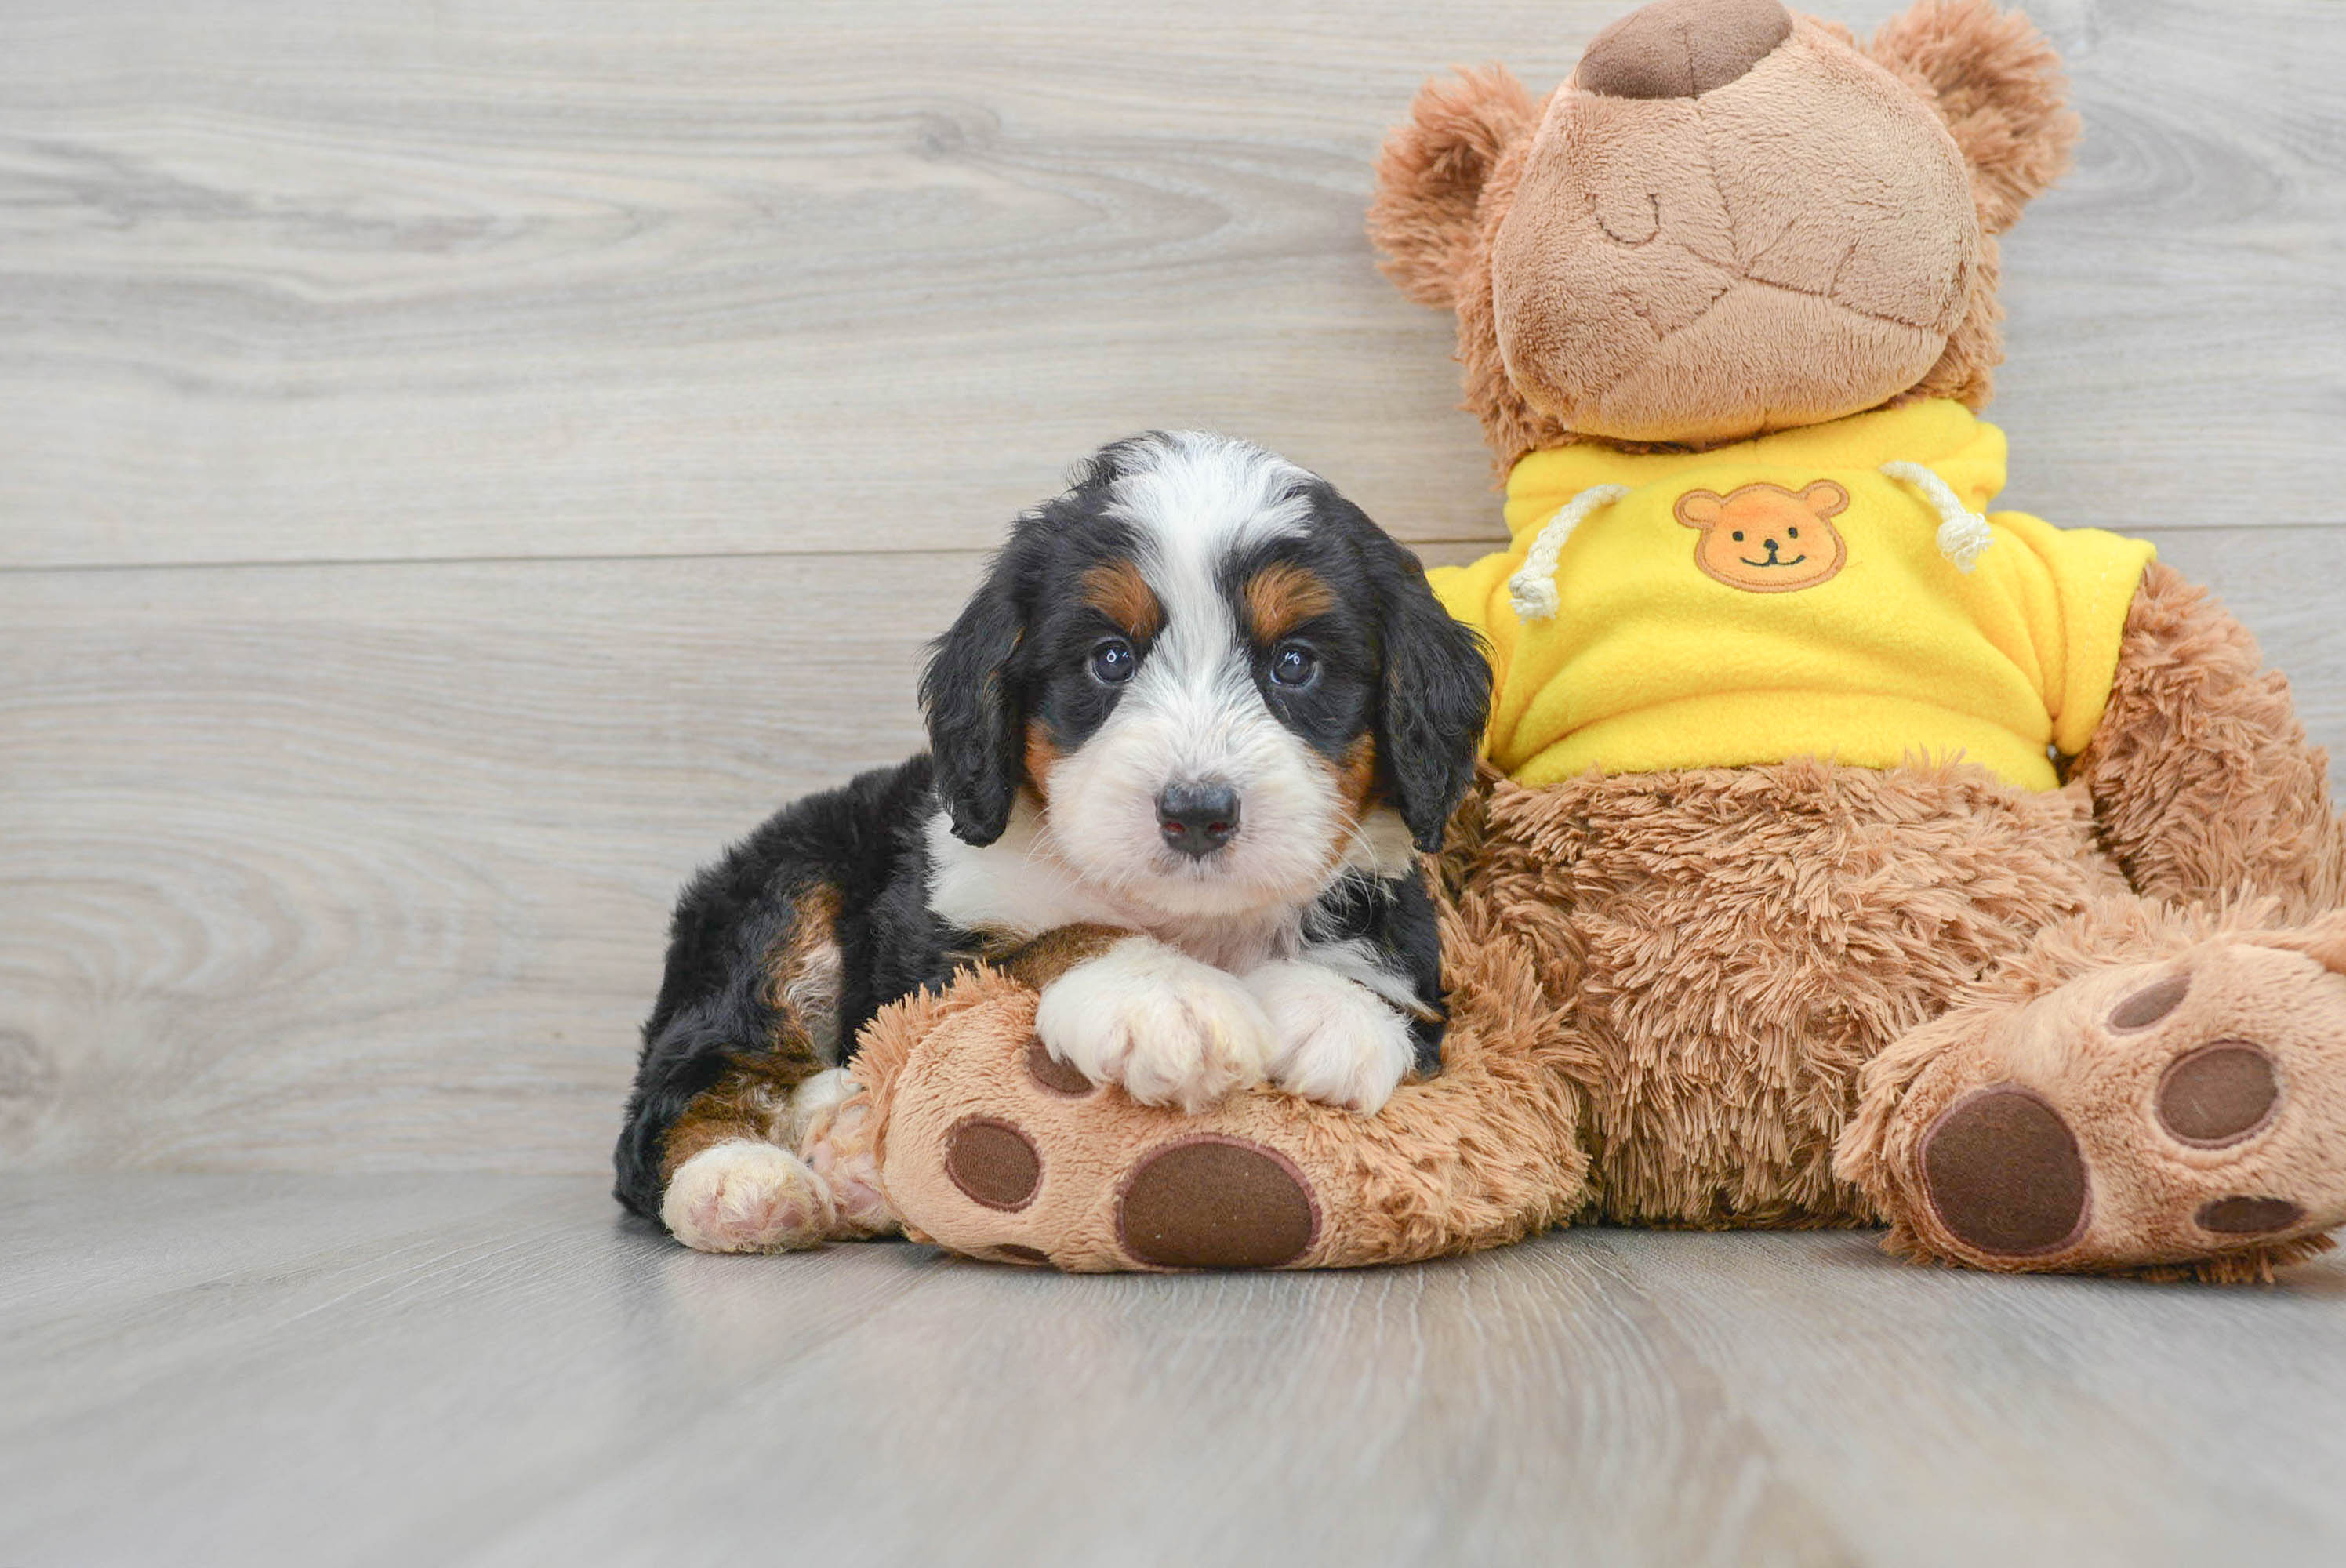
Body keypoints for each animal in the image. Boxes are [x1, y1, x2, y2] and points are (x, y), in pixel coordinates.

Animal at [605, 434, 1482, 1258]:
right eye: (1110, 659)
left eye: (1295, 663)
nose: (1197, 811)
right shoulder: (930, 955)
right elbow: (1059, 939)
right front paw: (1162, 997)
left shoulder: (1398, 912)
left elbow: (1389, 976)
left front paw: (1333, 1010)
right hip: (784, 898)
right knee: (688, 1088)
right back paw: (744, 1181)